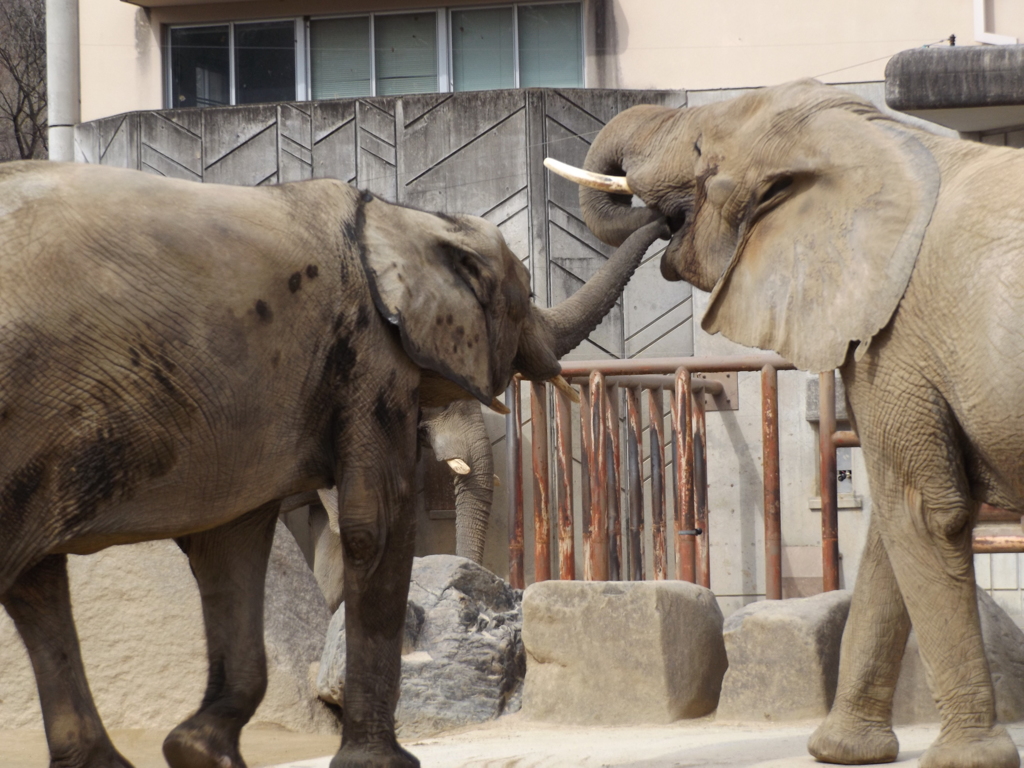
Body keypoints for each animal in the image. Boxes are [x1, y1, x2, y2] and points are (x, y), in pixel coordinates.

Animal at [552, 79, 1024, 768]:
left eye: (701, 151)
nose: (660, 223)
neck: (878, 134)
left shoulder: (895, 335)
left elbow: (923, 510)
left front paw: (968, 759)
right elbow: (888, 532)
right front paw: (840, 751)